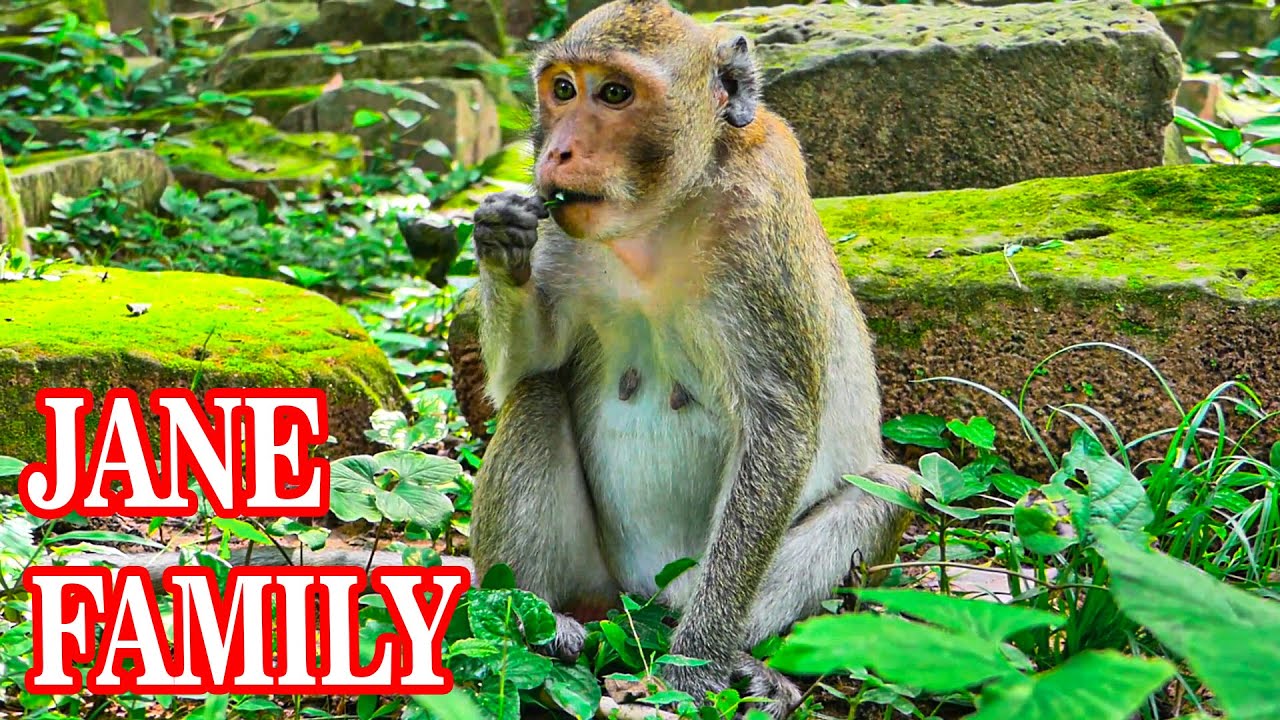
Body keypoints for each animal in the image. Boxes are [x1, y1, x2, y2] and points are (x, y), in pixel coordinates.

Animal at [467, 0, 918, 715]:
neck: (658, 218)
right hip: (599, 576)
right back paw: (537, 620)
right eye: (563, 89)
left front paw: (693, 669)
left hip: (695, 587)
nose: (558, 150)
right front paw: (500, 230)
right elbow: (528, 365)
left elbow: (779, 427)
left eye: (614, 94)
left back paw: (735, 658)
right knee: (538, 395)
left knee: (892, 492)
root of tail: (642, 598)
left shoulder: (760, 223)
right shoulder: (562, 228)